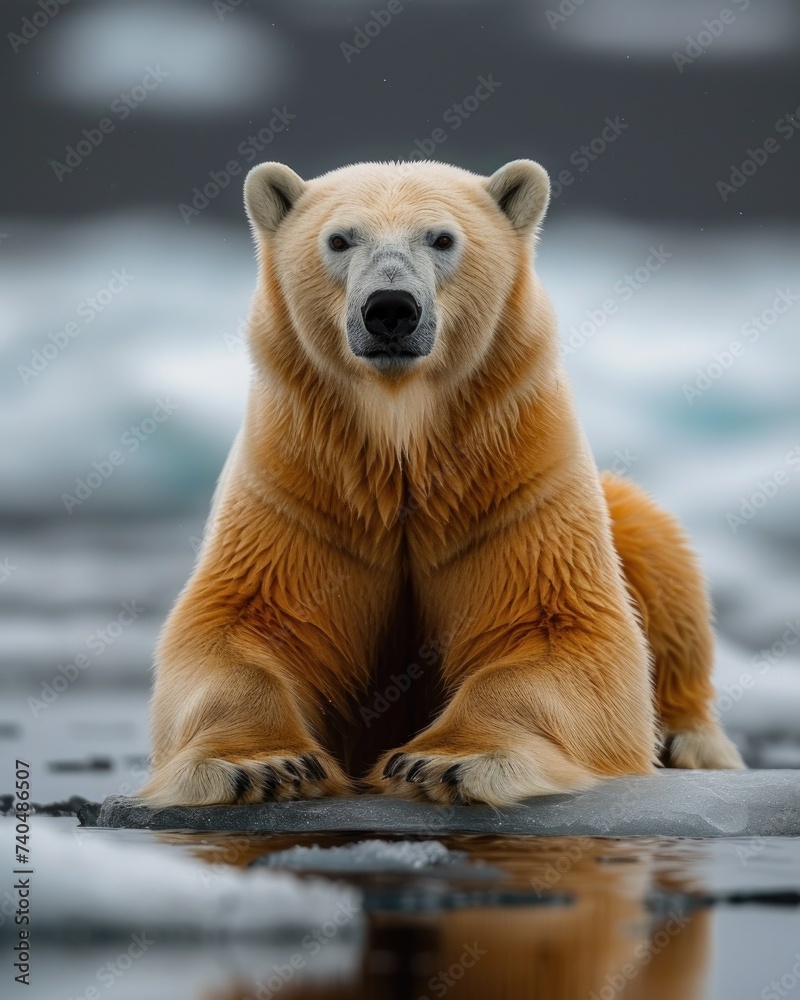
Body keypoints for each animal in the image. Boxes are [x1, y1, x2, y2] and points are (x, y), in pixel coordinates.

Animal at [140, 158, 744, 808]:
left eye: (442, 238)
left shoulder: (514, 483)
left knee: (654, 545)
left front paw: (443, 762)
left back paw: (687, 740)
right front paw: (263, 764)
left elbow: (561, 629)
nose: (390, 309)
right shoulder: (303, 488)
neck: (403, 447)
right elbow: (238, 628)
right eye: (339, 239)